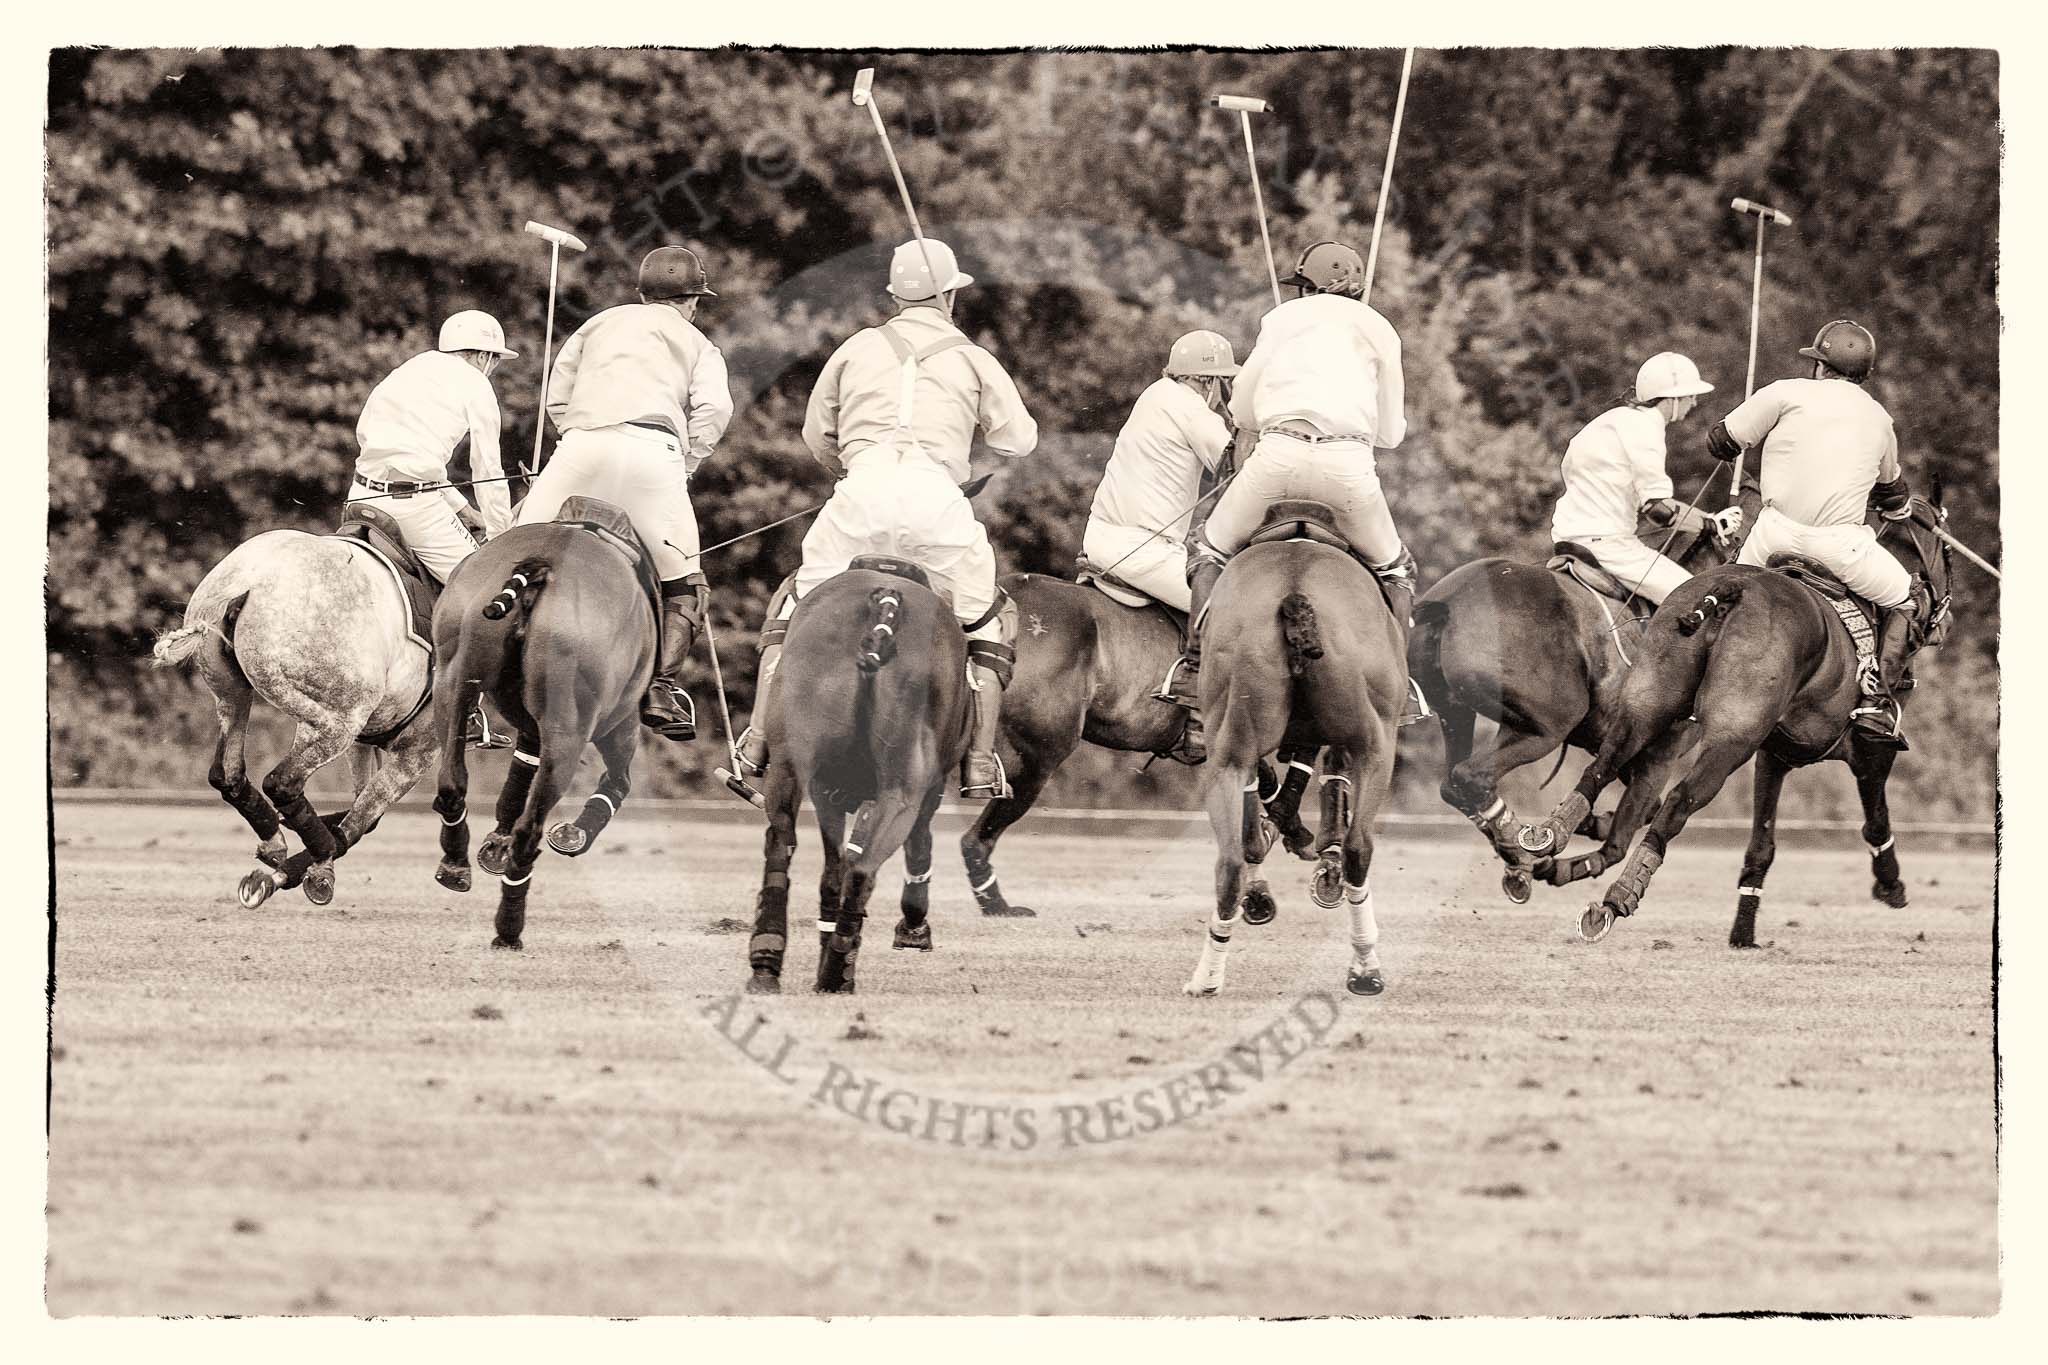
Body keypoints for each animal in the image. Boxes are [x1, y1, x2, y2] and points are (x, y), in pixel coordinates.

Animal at [428, 501, 659, 949]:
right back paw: (509, 928)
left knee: (451, 783)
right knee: (530, 829)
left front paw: (493, 846)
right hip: (572, 731)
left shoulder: (532, 727)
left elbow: (517, 776)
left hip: (452, 683)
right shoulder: (618, 722)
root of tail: (542, 564)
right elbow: (618, 781)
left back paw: (455, 864)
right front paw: (574, 834)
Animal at [745, 560, 974, 998]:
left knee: (784, 848)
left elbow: (832, 872)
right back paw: (836, 972)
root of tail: (885, 604)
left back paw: (768, 963)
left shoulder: (827, 789)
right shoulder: (922, 792)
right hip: (901, 792)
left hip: (790, 770)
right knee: (864, 868)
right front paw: (911, 929)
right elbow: (913, 847)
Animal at [1187, 507, 1409, 998]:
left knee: (1231, 860)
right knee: (1358, 847)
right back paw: (1365, 966)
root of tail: (1296, 592)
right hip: (1376, 742)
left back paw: (1208, 977)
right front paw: (1319, 853)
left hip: (1229, 747)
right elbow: (1325, 779)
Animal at [1409, 474, 1761, 900]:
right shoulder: (1659, 752)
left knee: (1453, 782)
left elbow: (1636, 807)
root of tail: (1447, 603)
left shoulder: (1615, 746)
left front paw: (1588, 824)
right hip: (1547, 725)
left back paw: (1520, 852)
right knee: (1470, 777)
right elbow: (1628, 827)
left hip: (1457, 711)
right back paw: (1524, 850)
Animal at [1531, 493, 1957, 949]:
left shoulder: (1774, 755)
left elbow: (1761, 845)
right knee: (1678, 801)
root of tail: (1729, 590)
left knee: (1604, 767)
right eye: (1946, 552)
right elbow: (1875, 822)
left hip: (1648, 707)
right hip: (1731, 739)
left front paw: (1743, 931)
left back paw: (1552, 840)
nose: (1945, 623)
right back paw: (1618, 897)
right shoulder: (1869, 754)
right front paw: (1891, 886)